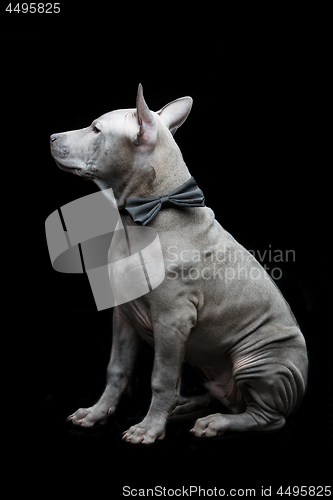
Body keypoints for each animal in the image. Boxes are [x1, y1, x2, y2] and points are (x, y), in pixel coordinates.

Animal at [50, 84, 308, 444]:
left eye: (96, 129)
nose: (51, 137)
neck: (146, 213)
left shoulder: (172, 321)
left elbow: (161, 378)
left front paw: (148, 428)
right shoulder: (124, 315)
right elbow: (116, 369)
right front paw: (97, 413)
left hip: (260, 361)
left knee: (265, 417)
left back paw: (215, 422)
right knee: (221, 397)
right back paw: (185, 407)